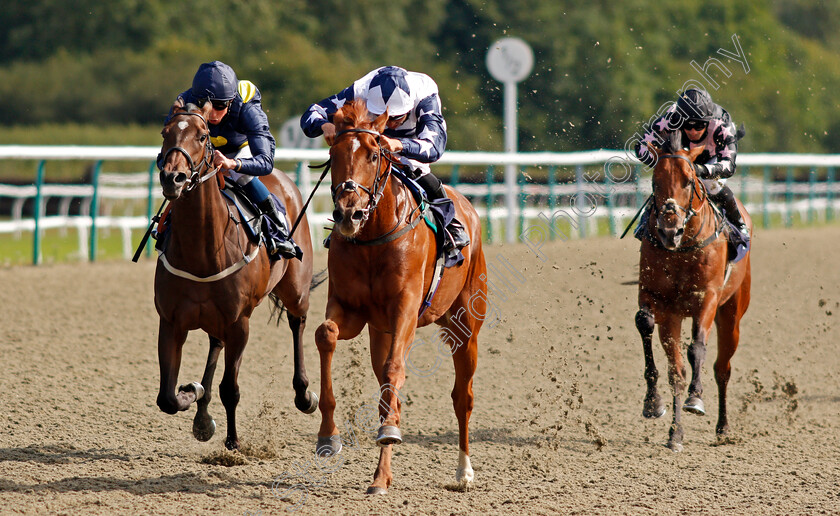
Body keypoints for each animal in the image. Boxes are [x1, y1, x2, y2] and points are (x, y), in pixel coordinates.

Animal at [154, 103, 318, 450]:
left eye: (202, 136)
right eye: (165, 132)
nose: (173, 177)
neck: (202, 252)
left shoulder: (239, 323)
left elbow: (230, 389)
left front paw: (232, 443)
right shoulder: (171, 321)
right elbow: (167, 398)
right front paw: (195, 395)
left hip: (295, 288)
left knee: (297, 322)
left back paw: (304, 394)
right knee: (215, 344)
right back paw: (202, 411)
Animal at [314, 100, 486, 492]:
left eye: (375, 154)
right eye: (333, 153)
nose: (348, 213)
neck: (373, 238)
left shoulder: (405, 308)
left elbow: (396, 369)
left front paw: (389, 433)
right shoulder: (351, 309)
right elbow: (325, 334)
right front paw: (328, 435)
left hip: (465, 326)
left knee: (462, 398)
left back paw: (463, 471)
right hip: (381, 331)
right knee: (386, 392)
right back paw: (382, 476)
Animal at [640, 134, 752, 452]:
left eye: (689, 181)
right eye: (655, 181)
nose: (669, 231)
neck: (683, 248)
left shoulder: (708, 298)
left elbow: (697, 348)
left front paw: (696, 398)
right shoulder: (659, 301)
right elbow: (646, 325)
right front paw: (654, 405)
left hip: (732, 315)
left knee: (722, 368)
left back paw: (723, 428)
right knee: (678, 369)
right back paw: (676, 432)